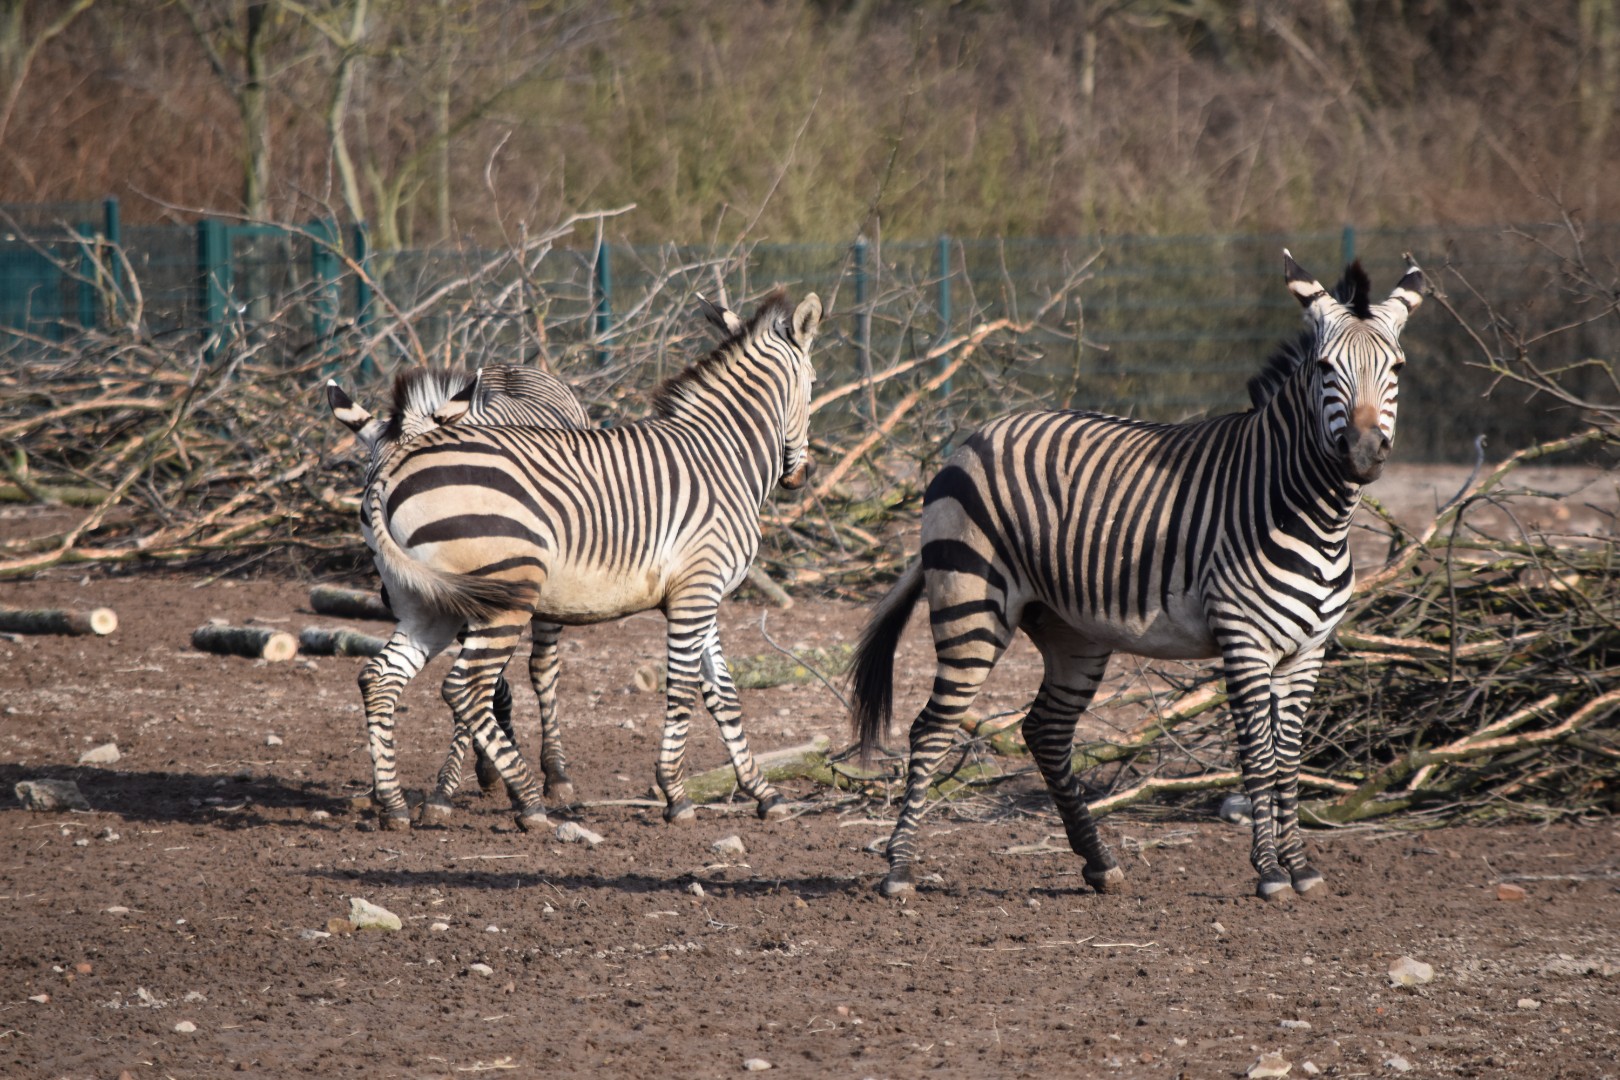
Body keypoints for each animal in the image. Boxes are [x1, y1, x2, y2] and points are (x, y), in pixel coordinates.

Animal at [326, 363, 590, 822]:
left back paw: (555, 773)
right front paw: (486, 767)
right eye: (368, 496)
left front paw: (445, 791)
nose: (390, 594)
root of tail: (515, 367)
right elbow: (485, 688)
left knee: (543, 668)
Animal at [850, 252, 1423, 901]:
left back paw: (1099, 861)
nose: (1363, 452)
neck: (1313, 514)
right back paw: (899, 869)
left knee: (1045, 731)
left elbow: (1290, 759)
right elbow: (1258, 755)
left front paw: (1300, 866)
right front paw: (1271, 872)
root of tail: (976, 435)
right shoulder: (1245, 640)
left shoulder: (1308, 650)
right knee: (931, 728)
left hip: (1073, 631)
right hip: (970, 607)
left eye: (1397, 367)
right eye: (1327, 367)